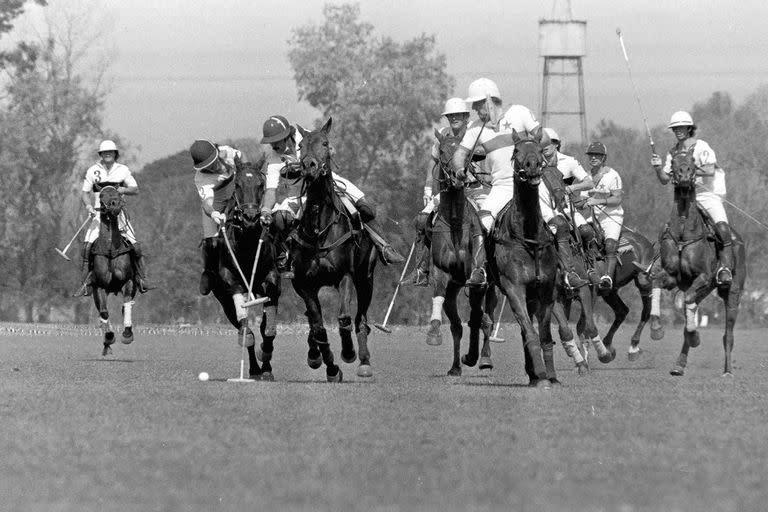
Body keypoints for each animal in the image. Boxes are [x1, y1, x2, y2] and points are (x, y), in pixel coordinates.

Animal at [89, 186, 138, 358]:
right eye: (101, 195)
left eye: (118, 193)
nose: (115, 205)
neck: (110, 250)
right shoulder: (99, 286)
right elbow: (104, 313)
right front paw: (109, 337)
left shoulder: (128, 281)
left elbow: (127, 303)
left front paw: (127, 335)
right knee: (102, 312)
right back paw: (106, 343)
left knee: (125, 306)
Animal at [210, 160, 282, 380]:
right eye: (237, 185)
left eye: (261, 184)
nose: (250, 217)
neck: (248, 243)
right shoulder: (229, 278)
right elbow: (244, 323)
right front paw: (250, 340)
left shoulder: (271, 278)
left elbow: (268, 328)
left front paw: (266, 357)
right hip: (223, 299)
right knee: (241, 324)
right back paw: (253, 368)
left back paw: (264, 368)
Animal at [290, 116, 380, 380]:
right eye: (300, 146)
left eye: (325, 143)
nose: (309, 166)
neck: (320, 229)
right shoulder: (304, 284)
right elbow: (318, 327)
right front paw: (329, 366)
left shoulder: (345, 275)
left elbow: (343, 317)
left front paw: (348, 353)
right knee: (314, 322)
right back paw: (315, 355)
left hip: (366, 278)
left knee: (361, 319)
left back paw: (364, 361)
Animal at [424, 128, 500, 376]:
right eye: (442, 151)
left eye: (466, 153)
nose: (458, 177)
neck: (456, 221)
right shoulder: (441, 271)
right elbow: (439, 296)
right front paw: (434, 333)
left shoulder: (477, 280)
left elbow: (479, 318)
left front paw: (475, 356)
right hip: (454, 287)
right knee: (457, 325)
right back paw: (456, 366)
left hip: (492, 286)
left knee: (487, 318)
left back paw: (484, 358)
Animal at [656, 148, 744, 376]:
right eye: (673, 161)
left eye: (693, 160)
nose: (685, 176)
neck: (683, 228)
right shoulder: (673, 277)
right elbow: (663, 288)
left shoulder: (703, 276)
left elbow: (687, 301)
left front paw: (695, 336)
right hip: (705, 289)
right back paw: (679, 364)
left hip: (732, 292)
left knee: (728, 334)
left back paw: (728, 370)